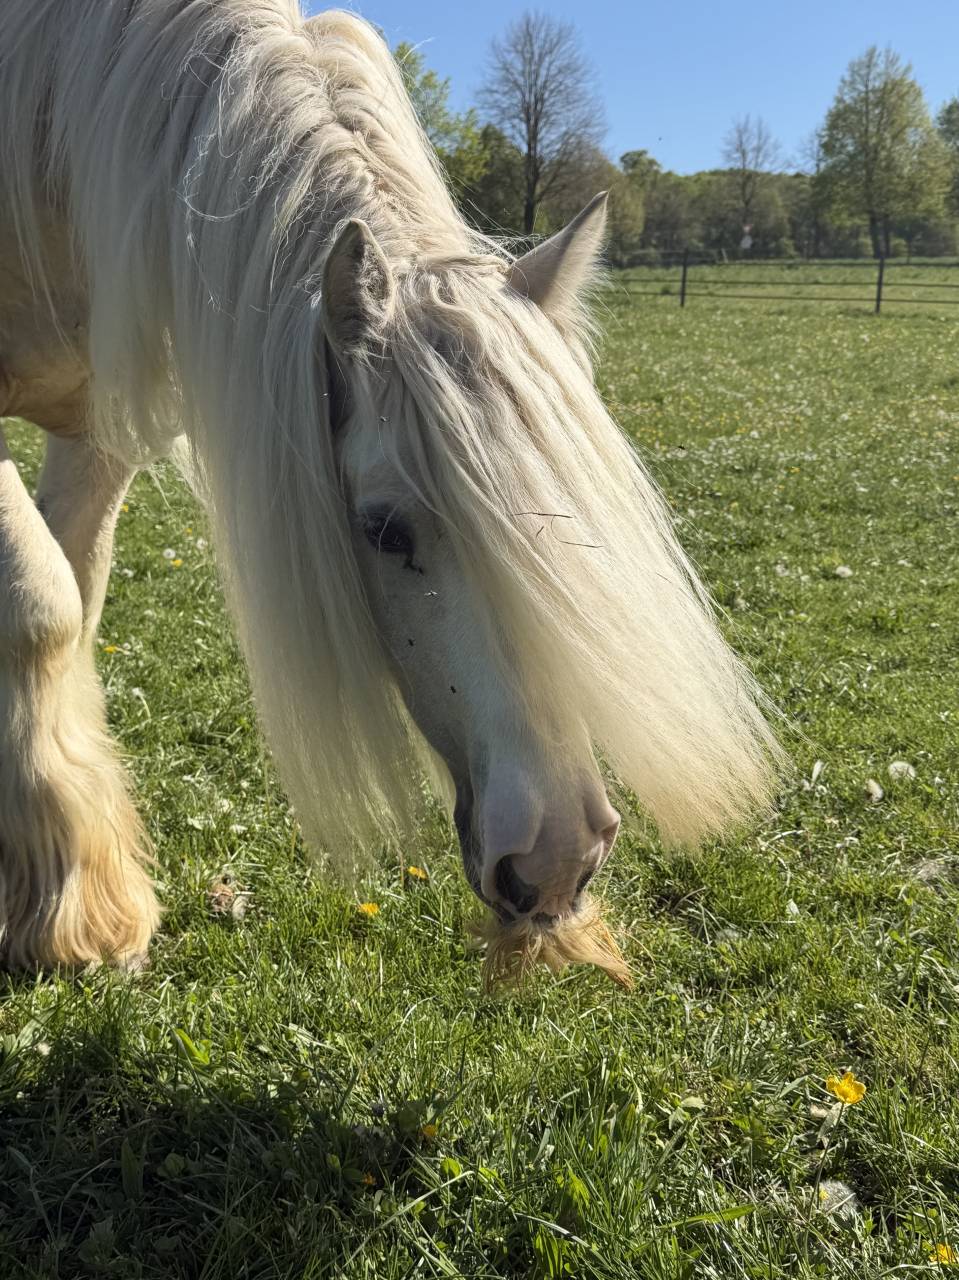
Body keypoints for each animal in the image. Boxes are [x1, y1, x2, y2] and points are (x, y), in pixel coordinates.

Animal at [0, 1, 779, 980]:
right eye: (382, 531)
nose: (560, 857)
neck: (44, 138)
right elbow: (41, 607)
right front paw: (76, 913)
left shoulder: (98, 428)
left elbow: (77, 599)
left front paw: (65, 885)